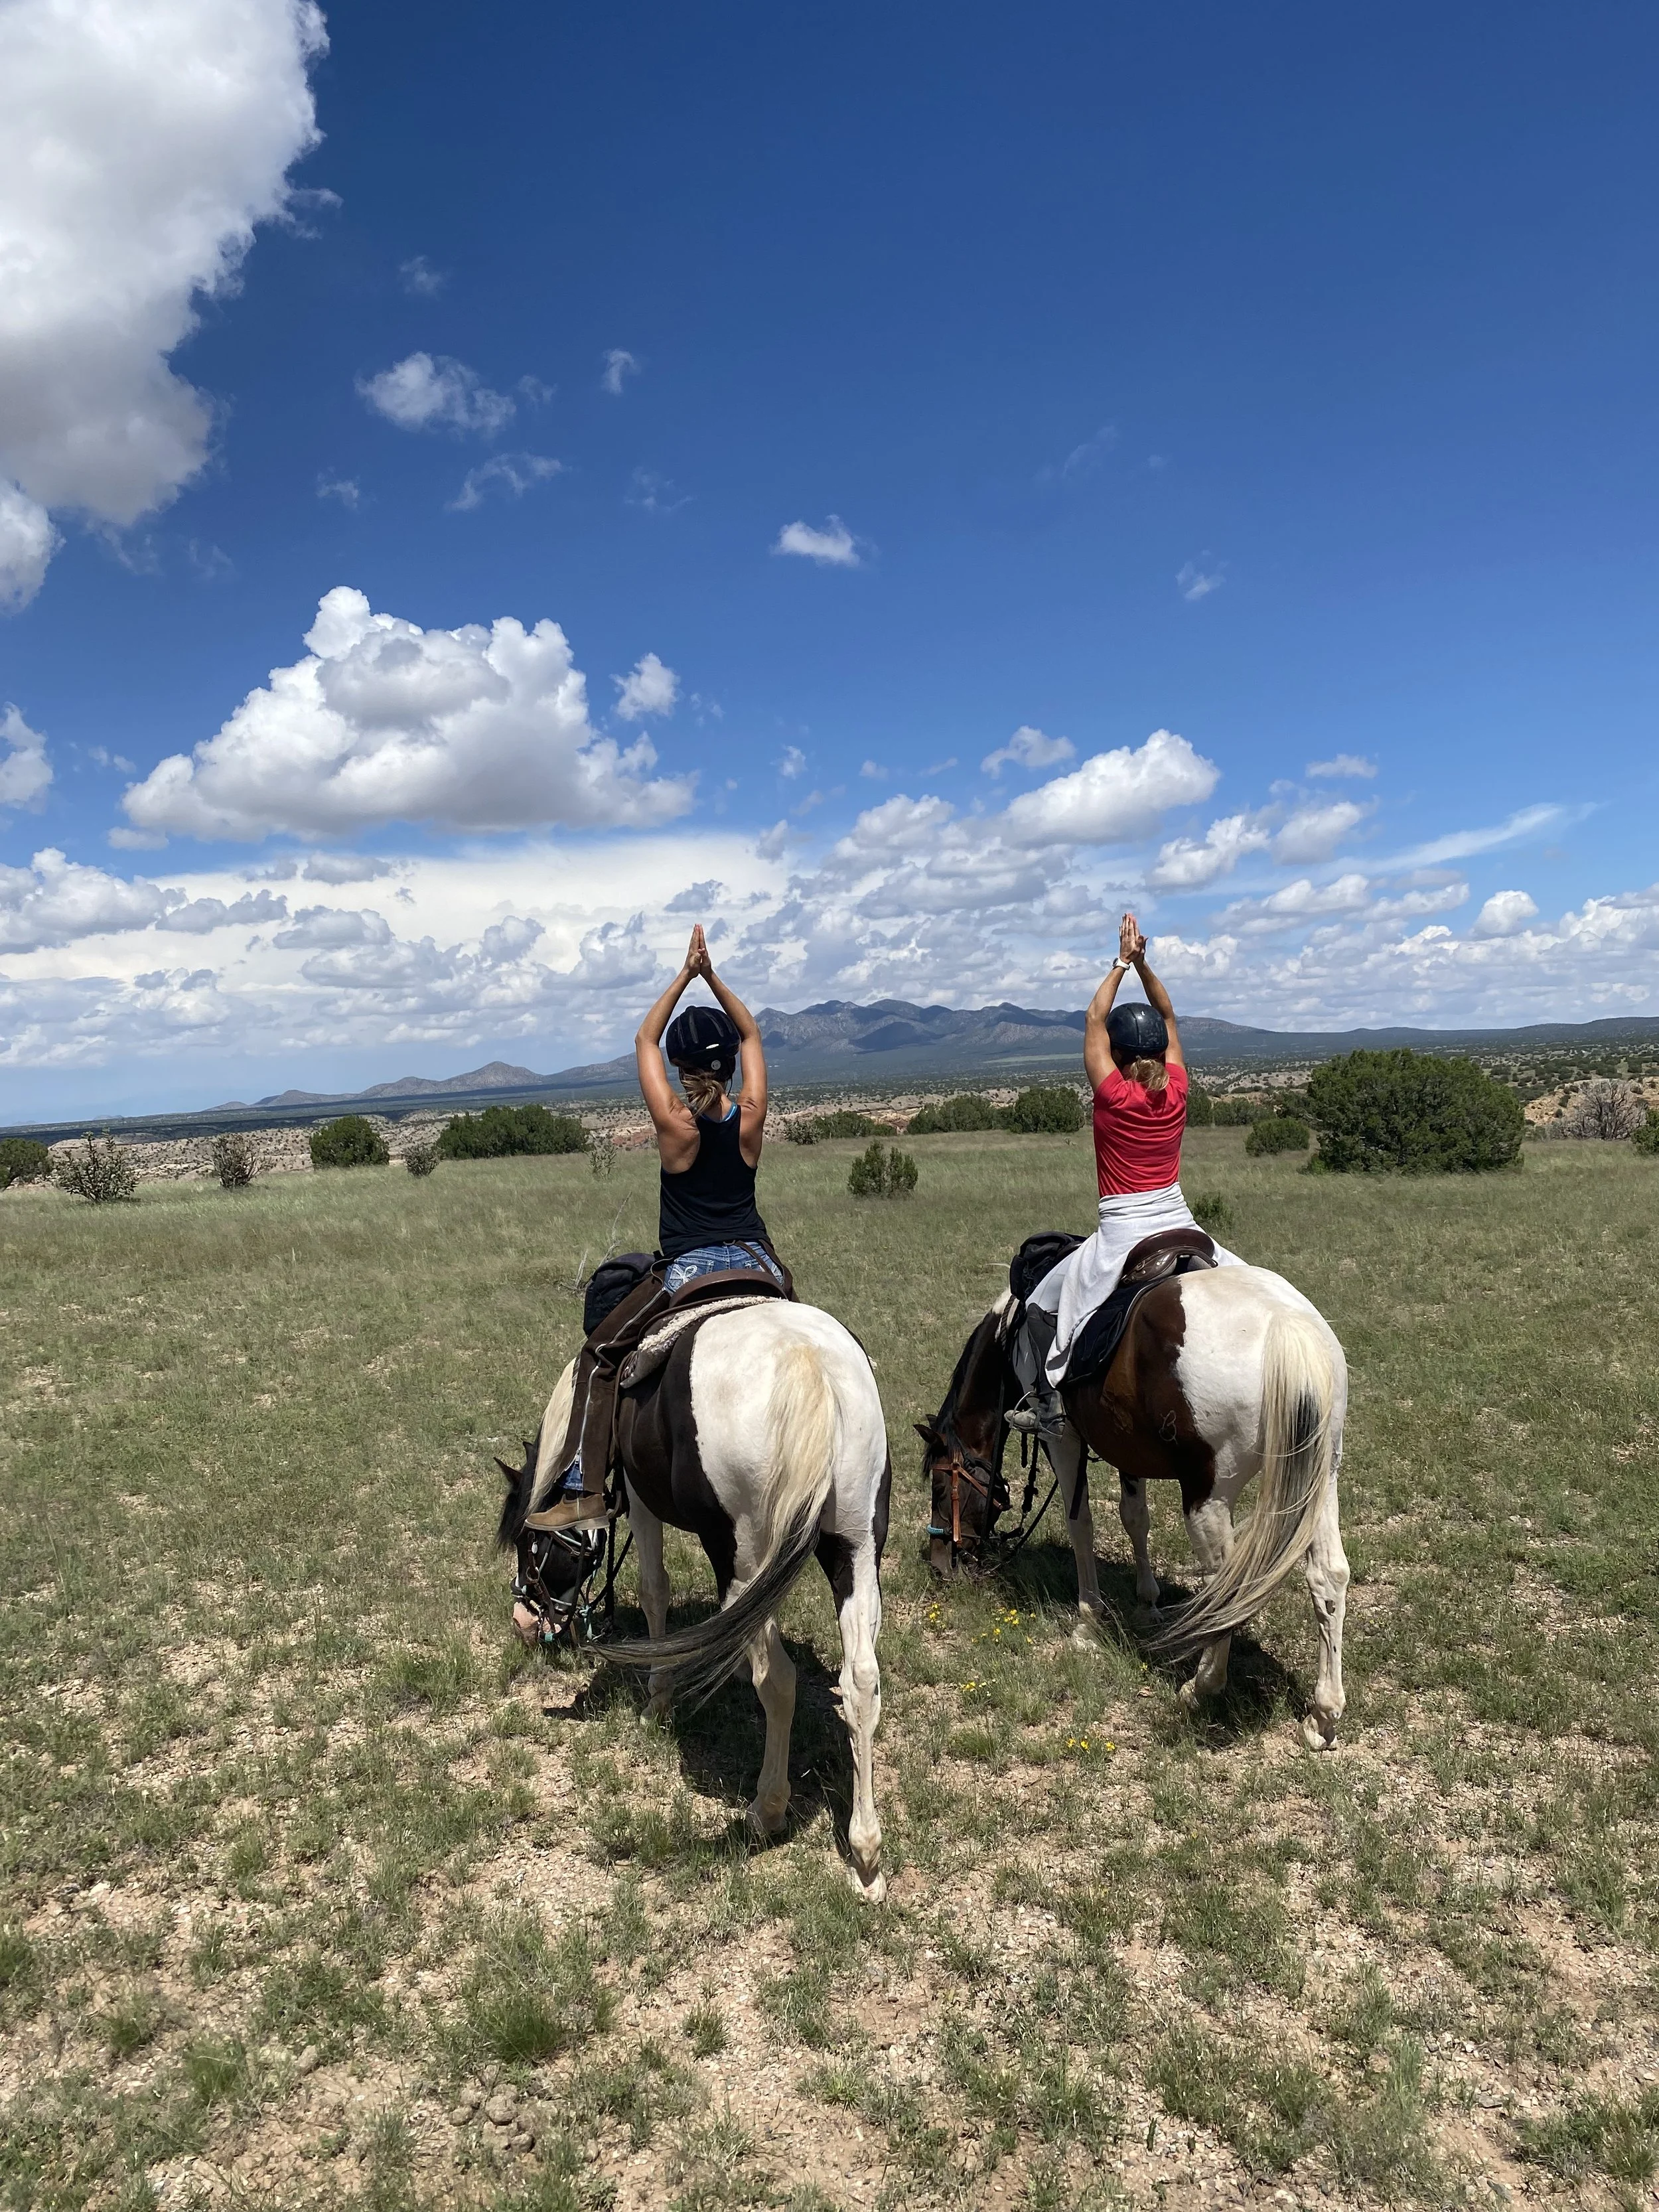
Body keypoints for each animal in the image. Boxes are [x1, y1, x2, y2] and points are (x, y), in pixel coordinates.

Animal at [497, 1300, 893, 1898]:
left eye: (529, 1540)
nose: (524, 1619)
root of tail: (809, 1361)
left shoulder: (638, 1500)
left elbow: (654, 1589)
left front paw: (657, 1700)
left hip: (740, 1554)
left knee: (778, 1680)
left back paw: (766, 1810)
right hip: (856, 1546)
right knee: (861, 1683)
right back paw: (866, 1855)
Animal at [918, 1259, 1350, 1750]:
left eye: (939, 1486)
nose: (940, 1562)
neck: (1013, 1333)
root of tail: (1285, 1324)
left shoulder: (1062, 1440)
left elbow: (1080, 1522)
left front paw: (1088, 1622)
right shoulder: (1127, 1444)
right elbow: (1135, 1518)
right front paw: (1147, 1600)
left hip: (1208, 1497)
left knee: (1225, 1585)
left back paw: (1201, 1685)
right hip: (1320, 1481)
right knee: (1328, 1577)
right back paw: (1322, 1714)